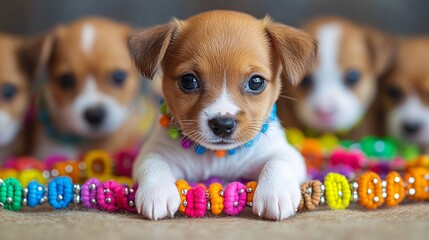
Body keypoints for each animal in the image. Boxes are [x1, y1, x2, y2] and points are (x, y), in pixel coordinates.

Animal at [127, 11, 314, 221]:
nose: (223, 124)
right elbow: (154, 164)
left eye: (256, 82)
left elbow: (279, 162)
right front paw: (157, 192)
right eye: (188, 81)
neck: (218, 156)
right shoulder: (155, 151)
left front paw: (275, 192)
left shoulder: (285, 153)